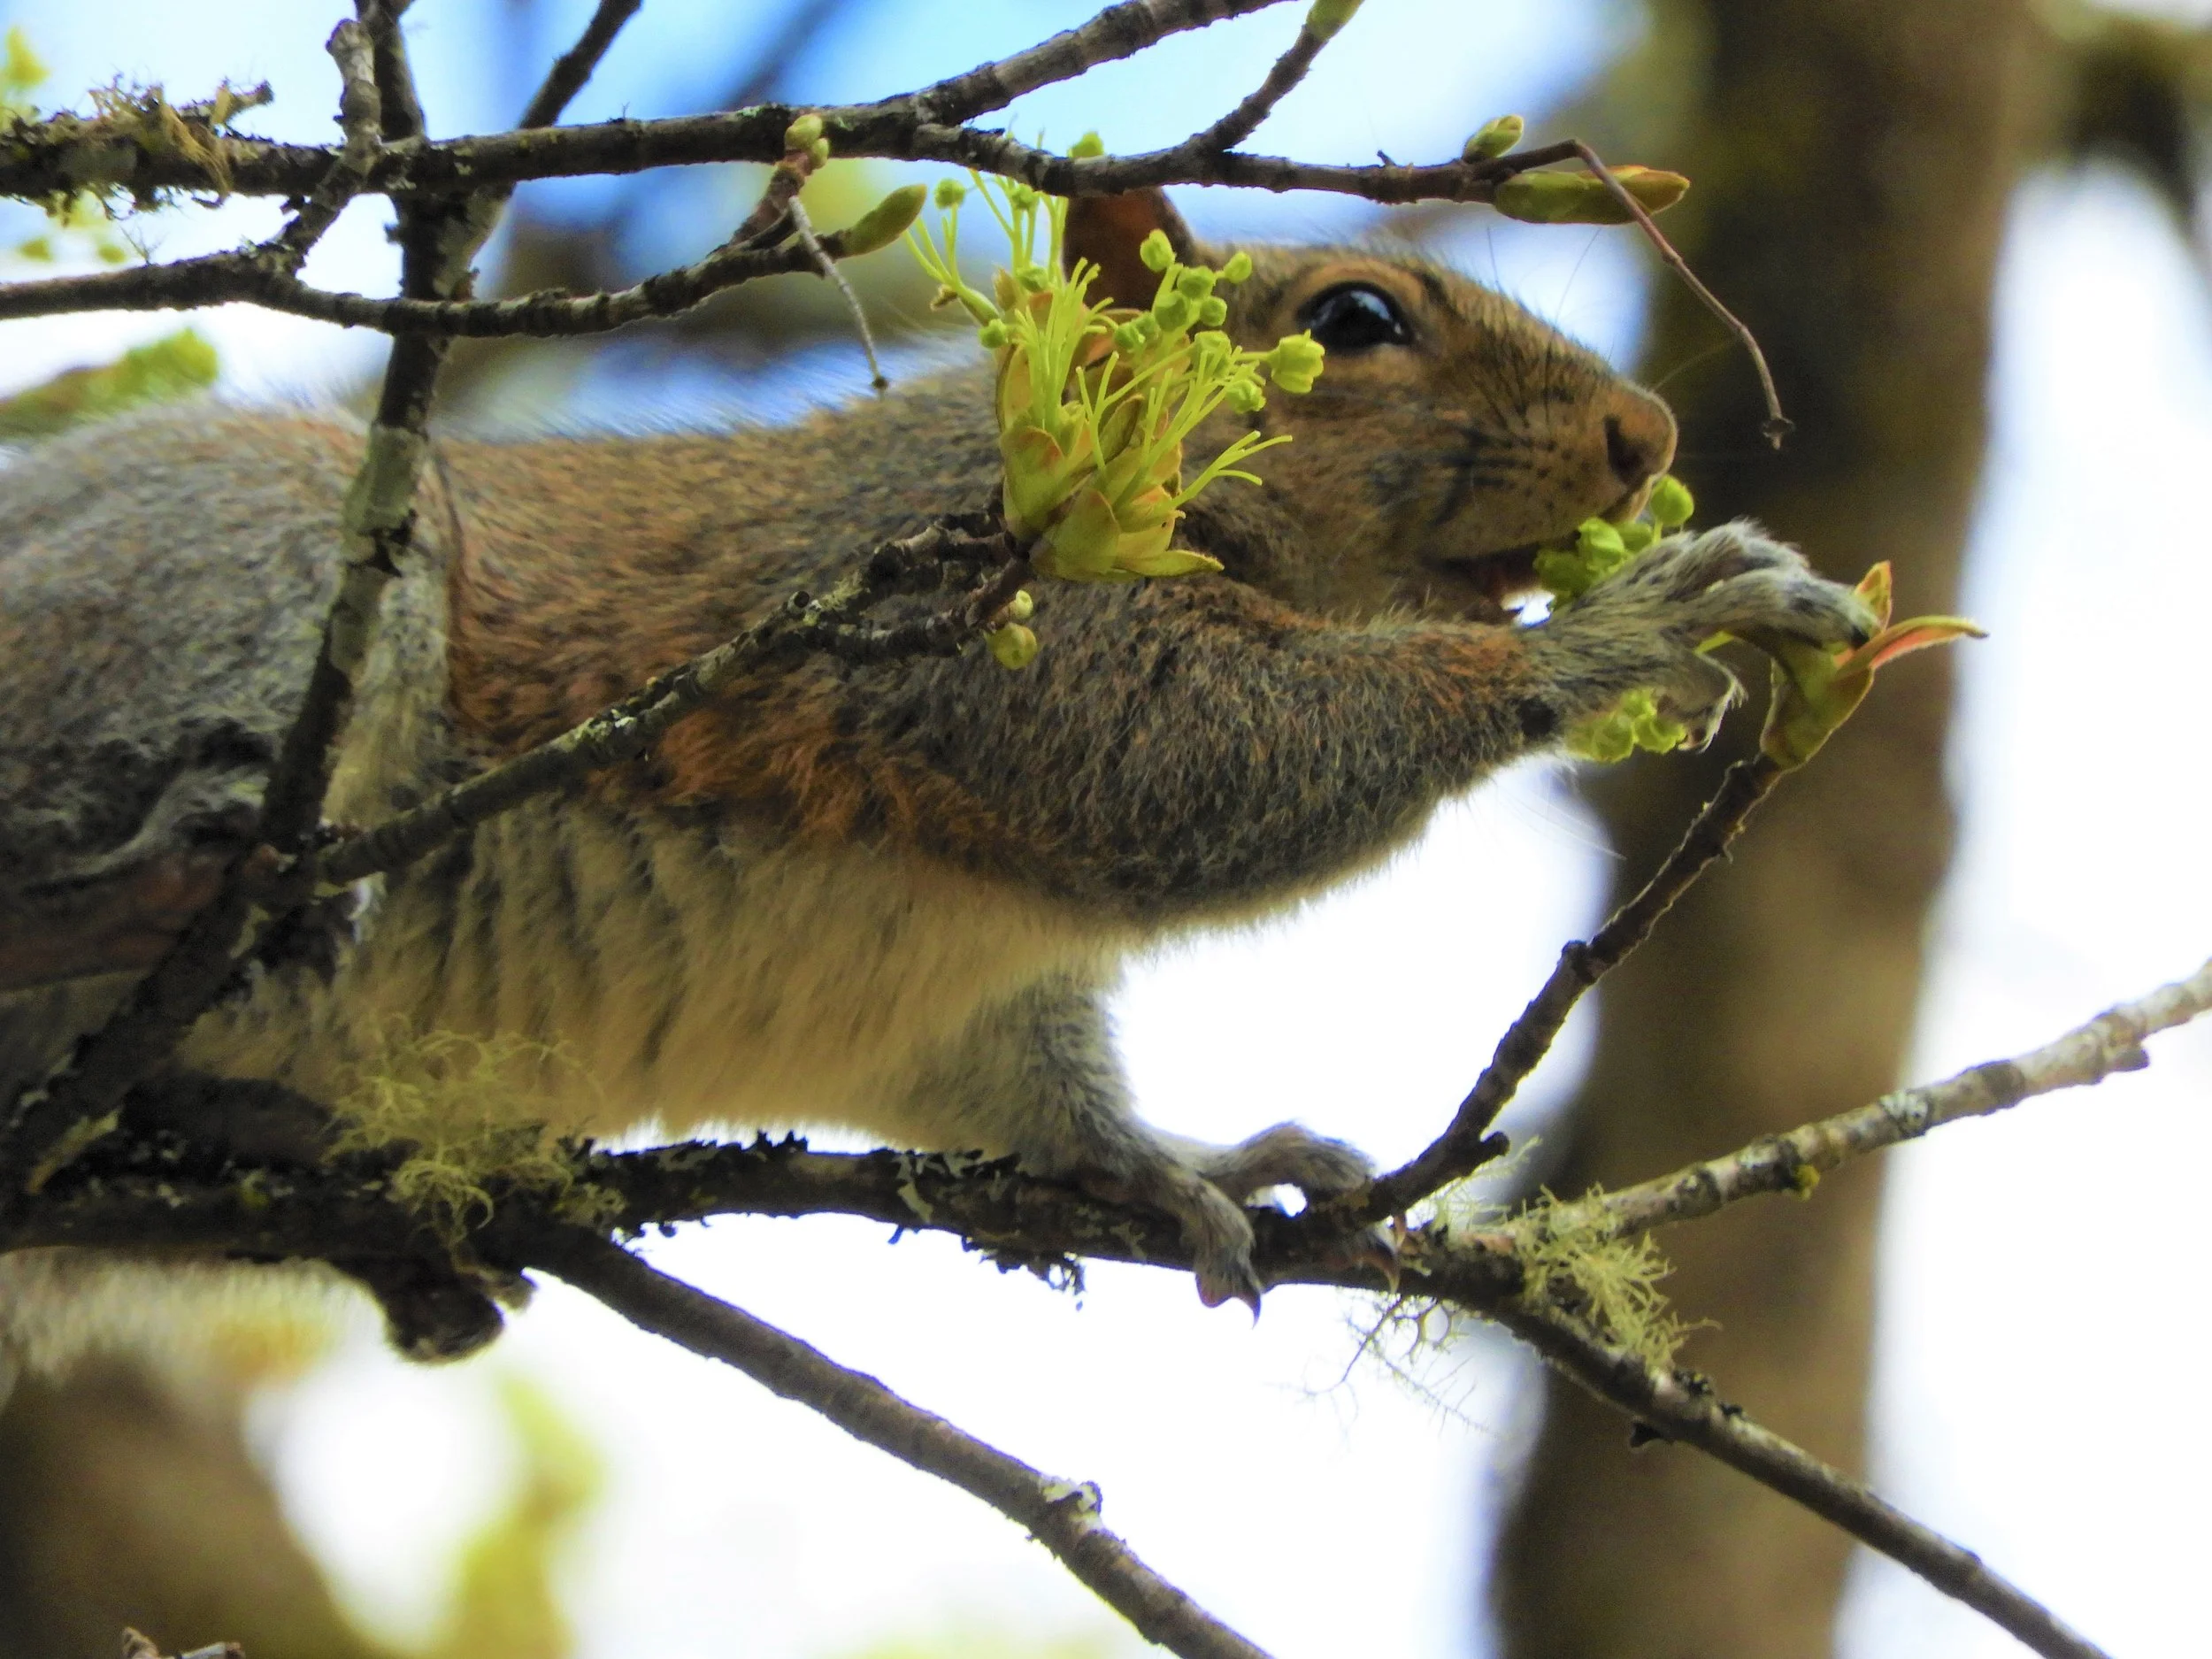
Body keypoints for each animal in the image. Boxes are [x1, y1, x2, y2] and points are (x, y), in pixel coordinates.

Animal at [0, 188, 1872, 1366]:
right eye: (1357, 321)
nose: (1645, 438)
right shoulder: (960, 622)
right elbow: (1198, 759)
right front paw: (1640, 621)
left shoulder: (956, 992)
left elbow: (1029, 1091)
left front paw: (1190, 1162)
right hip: (246, 571)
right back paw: (198, 882)